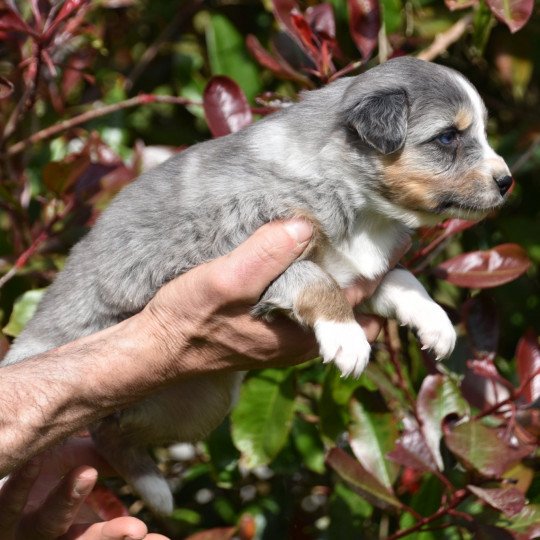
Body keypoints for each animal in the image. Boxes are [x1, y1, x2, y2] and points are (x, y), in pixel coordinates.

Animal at [2, 57, 512, 516]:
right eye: (447, 137)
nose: (507, 182)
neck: (360, 204)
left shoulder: (357, 272)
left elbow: (401, 277)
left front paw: (436, 323)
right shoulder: (238, 248)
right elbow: (312, 278)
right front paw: (346, 337)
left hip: (198, 403)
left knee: (111, 432)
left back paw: (154, 491)